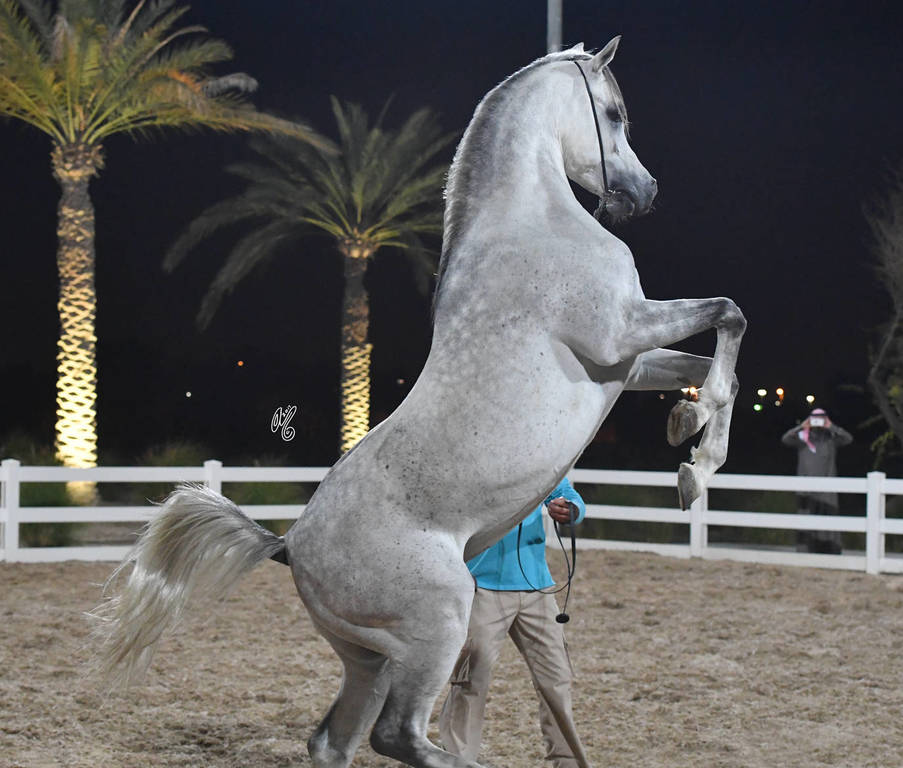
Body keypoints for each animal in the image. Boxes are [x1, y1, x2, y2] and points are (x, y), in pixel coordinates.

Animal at [92, 38, 744, 768]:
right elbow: (729, 314)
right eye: (613, 114)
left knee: (332, 740)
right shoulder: (621, 331)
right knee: (398, 734)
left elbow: (706, 366)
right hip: (439, 621)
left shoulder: (625, 364)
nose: (644, 191)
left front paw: (688, 441)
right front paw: (694, 454)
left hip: (371, 661)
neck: (535, 225)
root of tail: (289, 546)